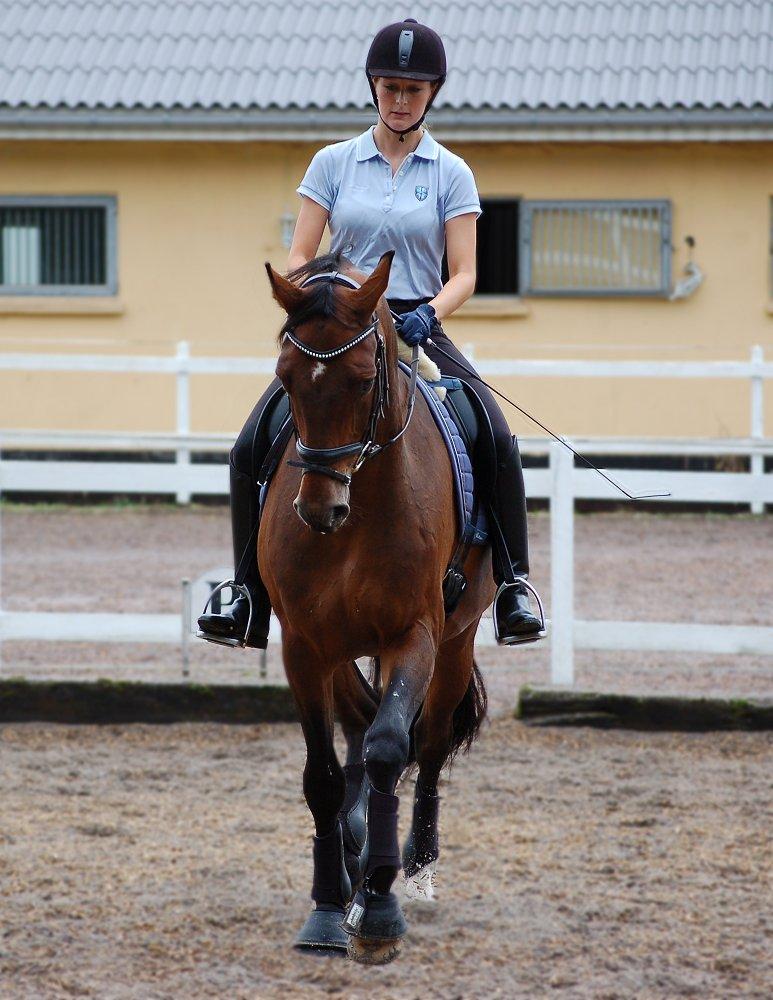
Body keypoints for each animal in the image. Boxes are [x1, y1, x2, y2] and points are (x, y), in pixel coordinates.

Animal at [260, 248, 492, 960]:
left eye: (365, 380)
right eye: (286, 377)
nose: (319, 508)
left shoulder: (414, 634)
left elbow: (394, 747)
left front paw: (383, 908)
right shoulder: (304, 645)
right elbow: (324, 774)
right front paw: (328, 910)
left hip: (455, 641)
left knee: (430, 744)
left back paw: (412, 865)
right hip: (340, 649)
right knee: (360, 724)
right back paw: (356, 854)